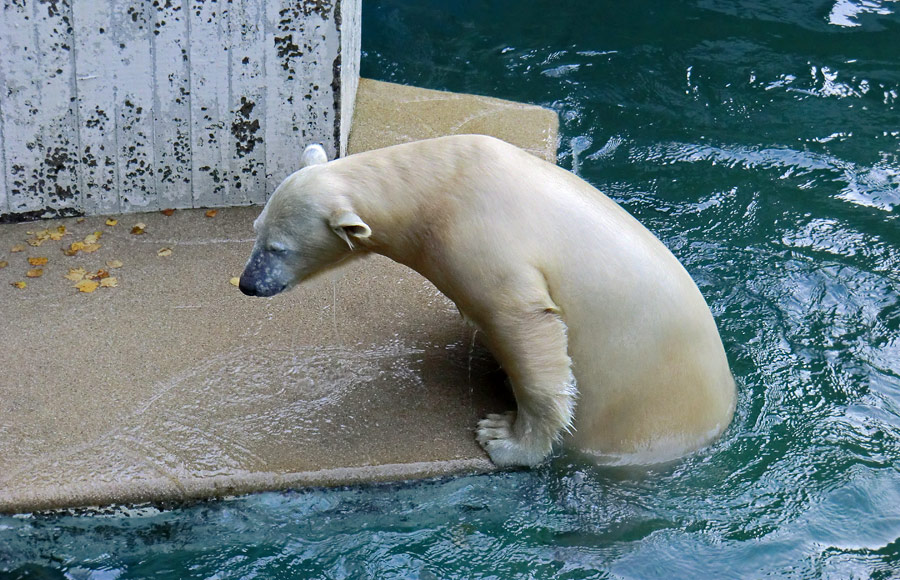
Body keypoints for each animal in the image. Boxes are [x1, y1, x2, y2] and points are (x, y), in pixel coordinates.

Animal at [241, 135, 740, 466]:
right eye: (256, 231)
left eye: (278, 248)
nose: (247, 283)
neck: (440, 183)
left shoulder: (483, 242)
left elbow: (527, 327)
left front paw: (505, 439)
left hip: (639, 416)